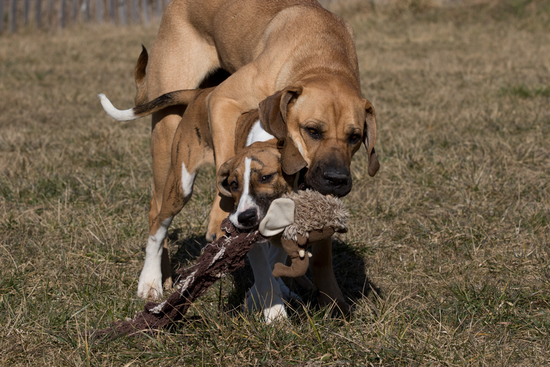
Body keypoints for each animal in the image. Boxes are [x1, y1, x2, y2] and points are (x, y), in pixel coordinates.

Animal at [144, 0, 382, 310]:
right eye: (312, 131)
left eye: (355, 137)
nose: (337, 179)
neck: (322, 57)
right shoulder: (223, 101)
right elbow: (227, 167)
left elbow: (315, 254)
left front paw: (325, 297)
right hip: (168, 140)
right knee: (157, 212)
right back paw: (151, 282)